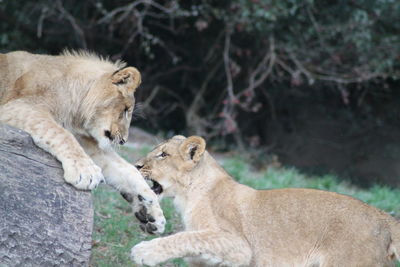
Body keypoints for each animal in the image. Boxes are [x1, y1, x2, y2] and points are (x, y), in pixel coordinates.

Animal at [0, 50, 164, 234]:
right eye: (125, 110)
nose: (124, 140)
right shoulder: (18, 106)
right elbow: (59, 133)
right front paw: (86, 173)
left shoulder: (86, 141)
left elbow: (128, 170)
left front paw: (152, 211)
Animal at [132, 136, 400, 267]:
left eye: (163, 154)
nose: (135, 165)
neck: (189, 195)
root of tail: (383, 216)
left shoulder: (239, 245)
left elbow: (187, 237)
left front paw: (145, 252)